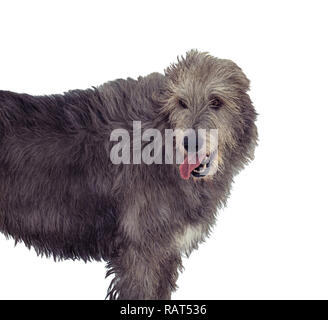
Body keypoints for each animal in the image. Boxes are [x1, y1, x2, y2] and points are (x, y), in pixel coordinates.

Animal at [0, 48, 258, 298]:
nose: (190, 142)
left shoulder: (164, 254)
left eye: (216, 101)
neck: (160, 141)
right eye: (181, 102)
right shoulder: (142, 253)